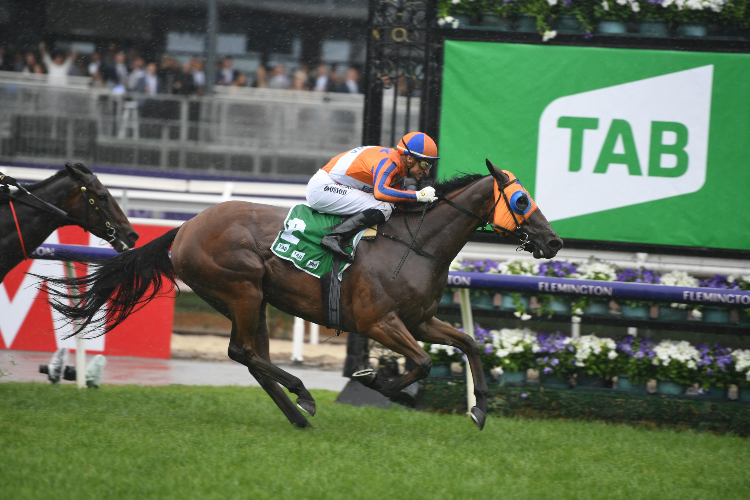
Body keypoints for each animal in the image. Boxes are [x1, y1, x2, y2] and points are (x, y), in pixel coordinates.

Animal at [39, 161, 560, 430]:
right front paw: (374, 380)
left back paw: (299, 412)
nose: (553, 241)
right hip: (242, 289)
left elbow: (469, 344)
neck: (414, 244)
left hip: (252, 301)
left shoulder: (419, 320)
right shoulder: (379, 323)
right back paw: (303, 394)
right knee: (243, 351)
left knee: (252, 357)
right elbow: (423, 362)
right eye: (521, 200)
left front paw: (479, 408)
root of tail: (185, 227)